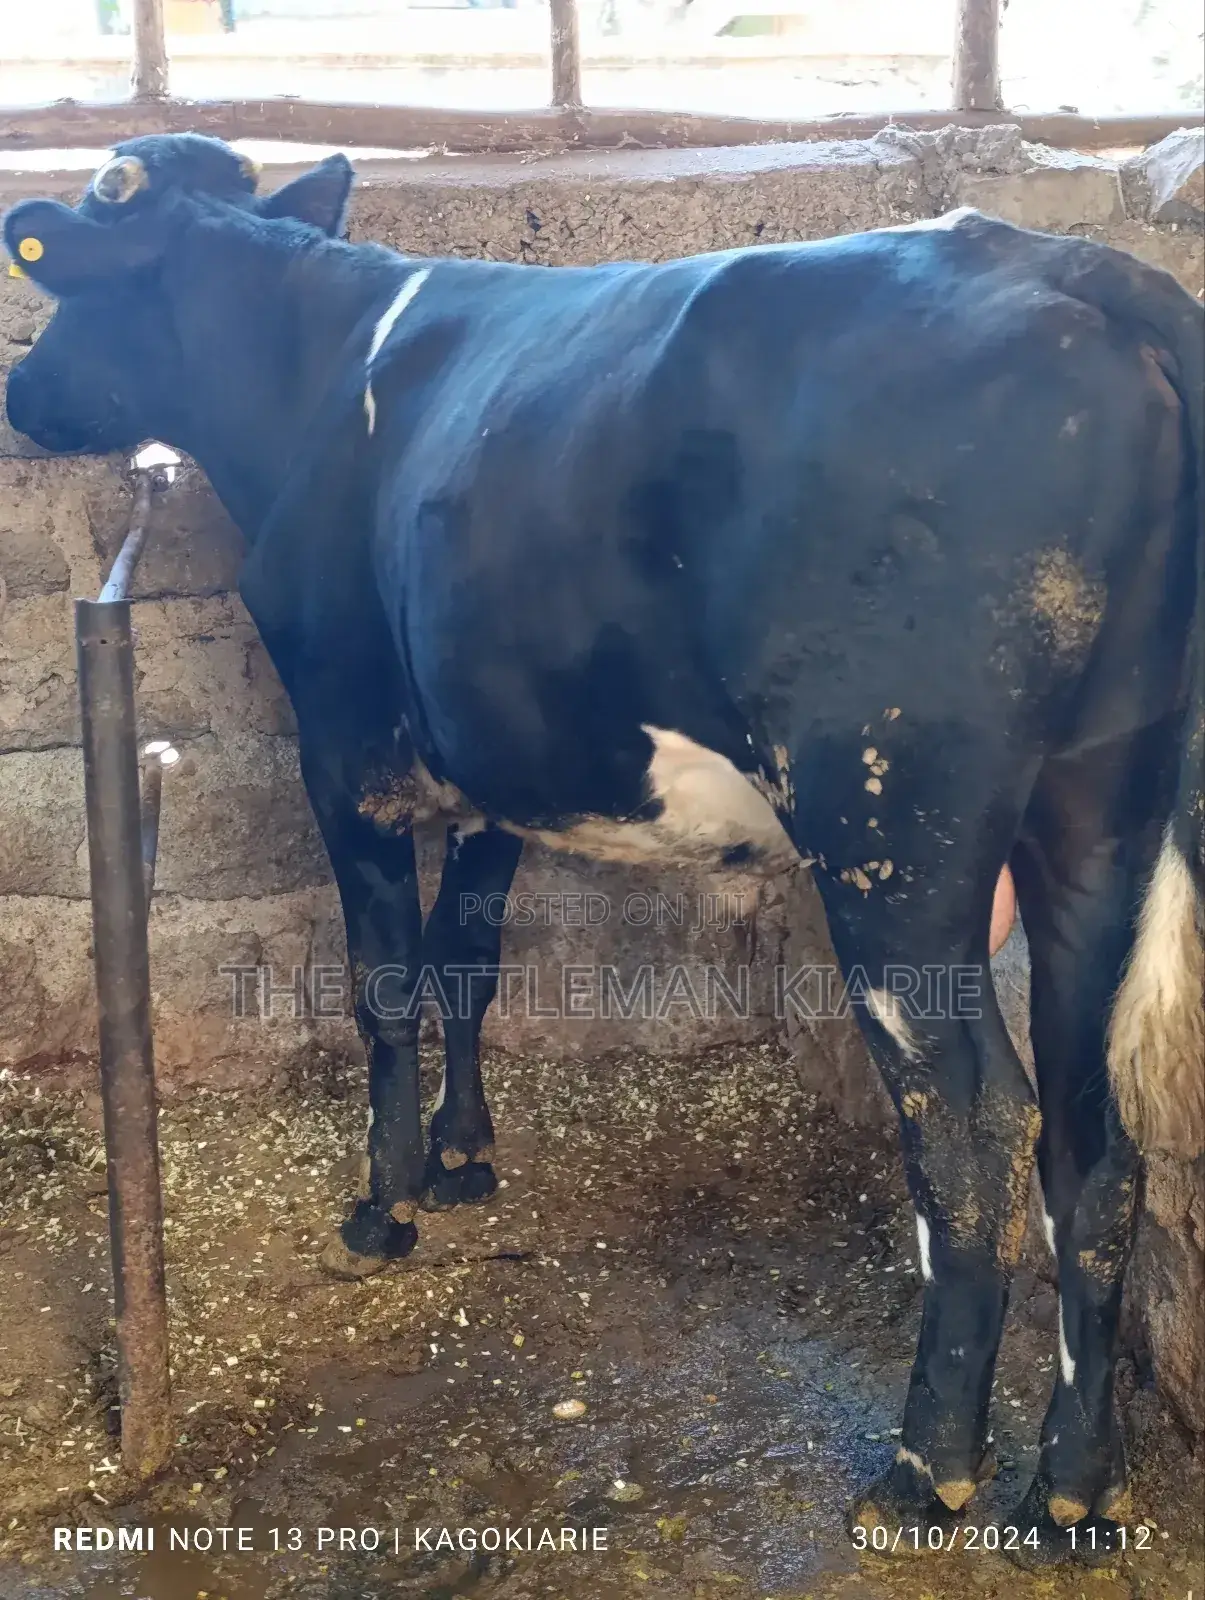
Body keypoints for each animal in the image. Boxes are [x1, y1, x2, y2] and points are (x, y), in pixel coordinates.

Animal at [5, 134, 1202, 1562]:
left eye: (66, 276)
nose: (22, 390)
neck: (313, 371)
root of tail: (1073, 268)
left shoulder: (342, 748)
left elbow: (387, 986)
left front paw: (382, 1206)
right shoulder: (488, 769)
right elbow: (468, 963)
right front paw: (466, 1158)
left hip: (891, 815)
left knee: (970, 1124)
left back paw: (923, 1472)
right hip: (1101, 800)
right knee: (1096, 1141)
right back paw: (1071, 1493)